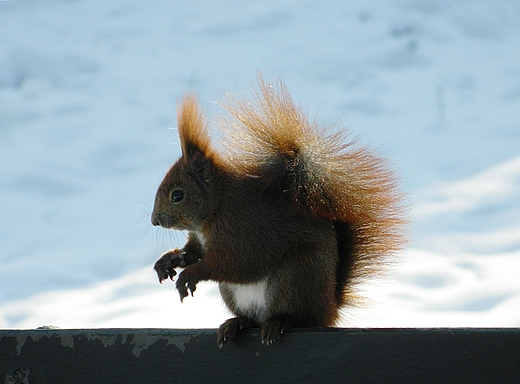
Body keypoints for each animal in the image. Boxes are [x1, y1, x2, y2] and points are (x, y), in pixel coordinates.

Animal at [150, 76, 406, 346]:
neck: (217, 207)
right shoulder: (201, 239)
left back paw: (278, 322)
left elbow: (236, 263)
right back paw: (237, 323)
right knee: (252, 319)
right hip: (234, 292)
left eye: (177, 195)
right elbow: (194, 252)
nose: (154, 220)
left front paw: (191, 273)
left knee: (295, 317)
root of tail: (329, 310)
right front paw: (170, 260)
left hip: (292, 280)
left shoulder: (242, 231)